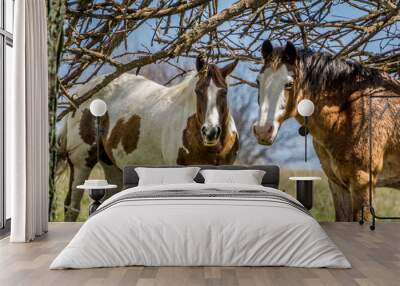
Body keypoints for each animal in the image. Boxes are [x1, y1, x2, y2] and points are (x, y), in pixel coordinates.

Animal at [57, 55, 239, 221]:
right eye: (198, 91)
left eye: (224, 91)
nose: (210, 132)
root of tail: (80, 94)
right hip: (81, 163)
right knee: (71, 207)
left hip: (112, 167)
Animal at [253, 40, 400, 222]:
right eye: (258, 81)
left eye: (289, 84)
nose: (262, 131)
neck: (345, 113)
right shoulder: (338, 185)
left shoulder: (363, 183)